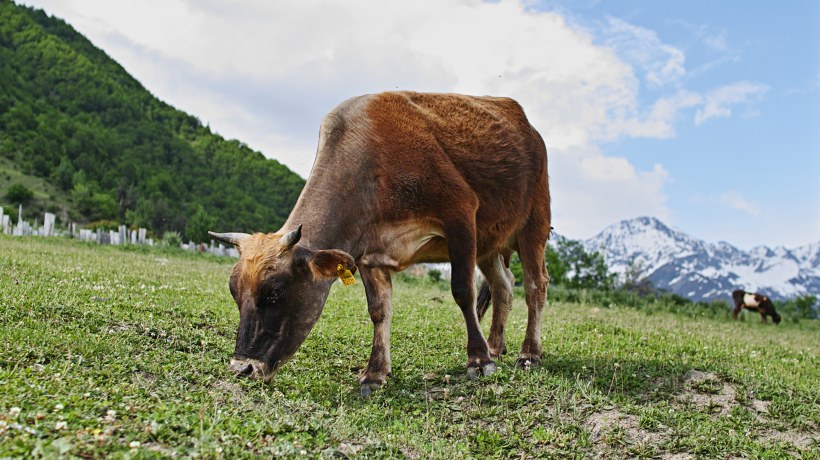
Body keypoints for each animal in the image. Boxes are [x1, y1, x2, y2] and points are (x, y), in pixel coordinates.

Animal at [209, 91, 551, 395]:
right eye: (234, 292)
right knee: (503, 285)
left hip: (534, 220)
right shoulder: (368, 252)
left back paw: (528, 353)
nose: (243, 368)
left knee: (535, 285)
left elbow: (462, 291)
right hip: (491, 242)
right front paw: (375, 373)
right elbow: (379, 309)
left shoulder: (461, 214)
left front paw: (478, 361)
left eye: (276, 292)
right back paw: (496, 346)